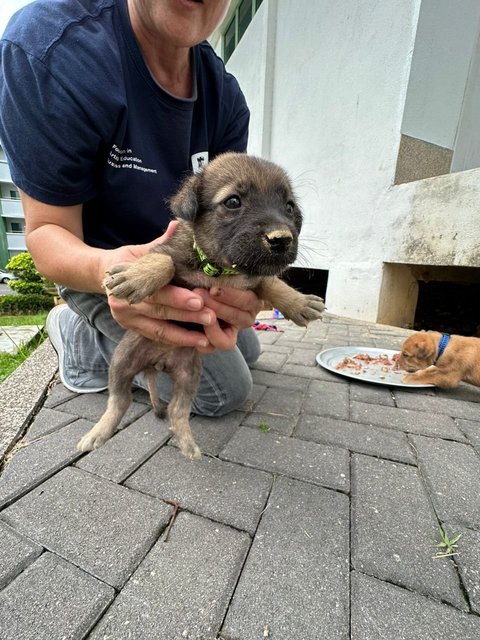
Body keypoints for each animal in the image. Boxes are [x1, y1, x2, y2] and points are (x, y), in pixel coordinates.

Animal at [77, 152, 326, 458]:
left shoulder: (253, 282)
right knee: (118, 401)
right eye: (233, 202)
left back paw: (187, 443)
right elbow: (165, 260)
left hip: (189, 375)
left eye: (289, 206)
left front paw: (299, 302)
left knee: (176, 410)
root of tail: (158, 363)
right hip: (122, 360)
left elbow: (270, 283)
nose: (281, 239)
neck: (220, 269)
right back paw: (97, 434)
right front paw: (136, 276)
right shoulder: (167, 252)